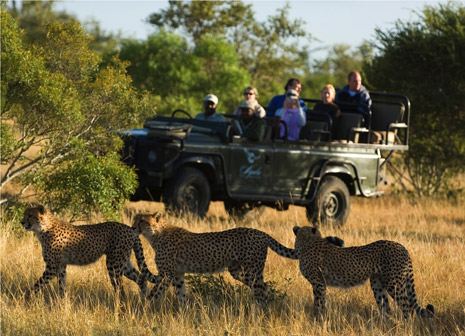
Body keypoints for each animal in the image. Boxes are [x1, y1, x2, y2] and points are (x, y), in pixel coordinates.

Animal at [20, 205, 154, 296]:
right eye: (24, 214)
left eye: (30, 215)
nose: (22, 222)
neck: (44, 228)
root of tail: (130, 229)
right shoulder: (61, 266)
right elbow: (62, 286)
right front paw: (63, 304)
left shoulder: (52, 267)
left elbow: (38, 284)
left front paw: (26, 297)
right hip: (123, 263)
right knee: (141, 278)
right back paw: (143, 301)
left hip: (114, 264)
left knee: (120, 287)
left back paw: (121, 304)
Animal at [132, 214, 342, 306]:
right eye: (135, 219)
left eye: (142, 220)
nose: (133, 226)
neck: (156, 235)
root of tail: (259, 232)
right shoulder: (177, 274)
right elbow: (181, 294)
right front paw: (184, 312)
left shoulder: (167, 274)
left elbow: (155, 293)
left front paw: (145, 308)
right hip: (238, 271)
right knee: (264, 287)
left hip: (253, 270)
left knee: (261, 289)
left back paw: (260, 312)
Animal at [292, 224, 434, 318]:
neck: (307, 242)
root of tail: (401, 246)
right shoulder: (321, 284)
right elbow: (321, 301)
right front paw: (320, 317)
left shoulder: (319, 283)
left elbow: (318, 301)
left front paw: (317, 317)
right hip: (377, 284)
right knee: (386, 308)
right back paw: (385, 325)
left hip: (394, 284)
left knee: (406, 307)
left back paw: (404, 326)